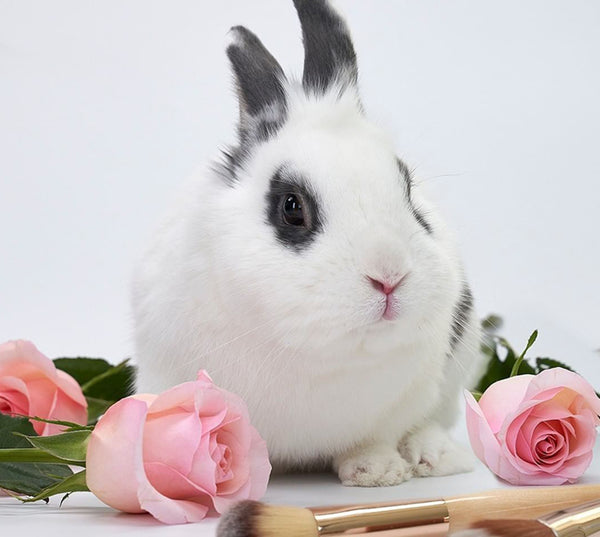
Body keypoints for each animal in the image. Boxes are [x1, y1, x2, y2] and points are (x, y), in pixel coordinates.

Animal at [131, 0, 482, 486]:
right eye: (292, 207)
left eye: (408, 191)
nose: (389, 276)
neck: (317, 353)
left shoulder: (400, 402)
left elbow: (377, 436)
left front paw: (376, 472)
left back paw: (436, 457)